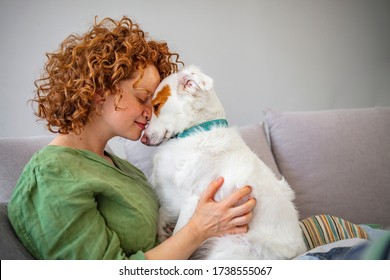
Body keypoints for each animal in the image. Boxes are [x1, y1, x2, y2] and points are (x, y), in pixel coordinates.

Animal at [142, 65, 306, 260]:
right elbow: (162, 212)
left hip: (229, 246)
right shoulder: (170, 192)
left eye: (156, 106)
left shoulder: (190, 200)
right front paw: (161, 230)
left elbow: (179, 233)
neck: (195, 132)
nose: (143, 139)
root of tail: (299, 251)